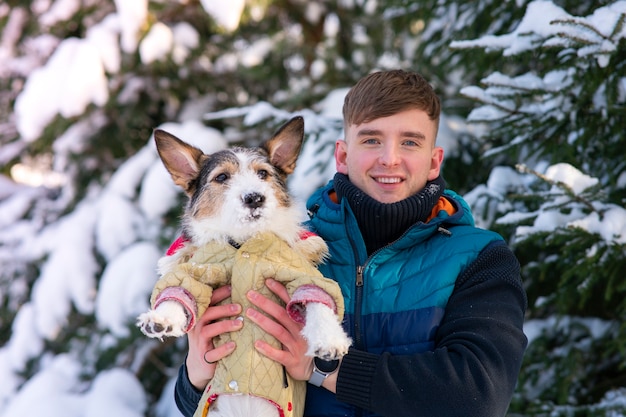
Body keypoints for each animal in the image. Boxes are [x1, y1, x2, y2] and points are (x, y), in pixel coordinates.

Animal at [138, 116, 352, 416]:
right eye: (222, 177)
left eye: (263, 174)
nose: (255, 197)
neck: (243, 245)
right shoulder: (199, 269)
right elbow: (180, 292)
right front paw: (162, 319)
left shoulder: (298, 271)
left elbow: (317, 298)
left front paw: (329, 339)